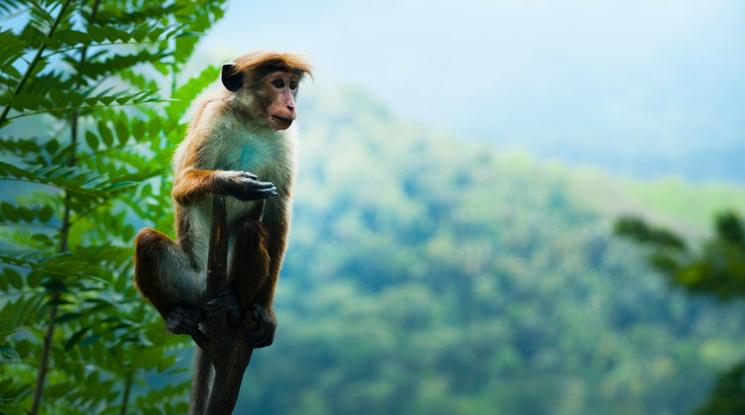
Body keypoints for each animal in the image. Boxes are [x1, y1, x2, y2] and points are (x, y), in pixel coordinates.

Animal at [132, 51, 310, 412]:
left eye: (293, 85)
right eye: (278, 83)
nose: (290, 104)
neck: (251, 121)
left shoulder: (284, 139)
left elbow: (277, 215)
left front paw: (265, 312)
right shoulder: (213, 118)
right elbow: (182, 185)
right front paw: (232, 184)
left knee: (249, 230)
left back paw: (236, 304)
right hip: (189, 283)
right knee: (147, 241)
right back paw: (175, 316)